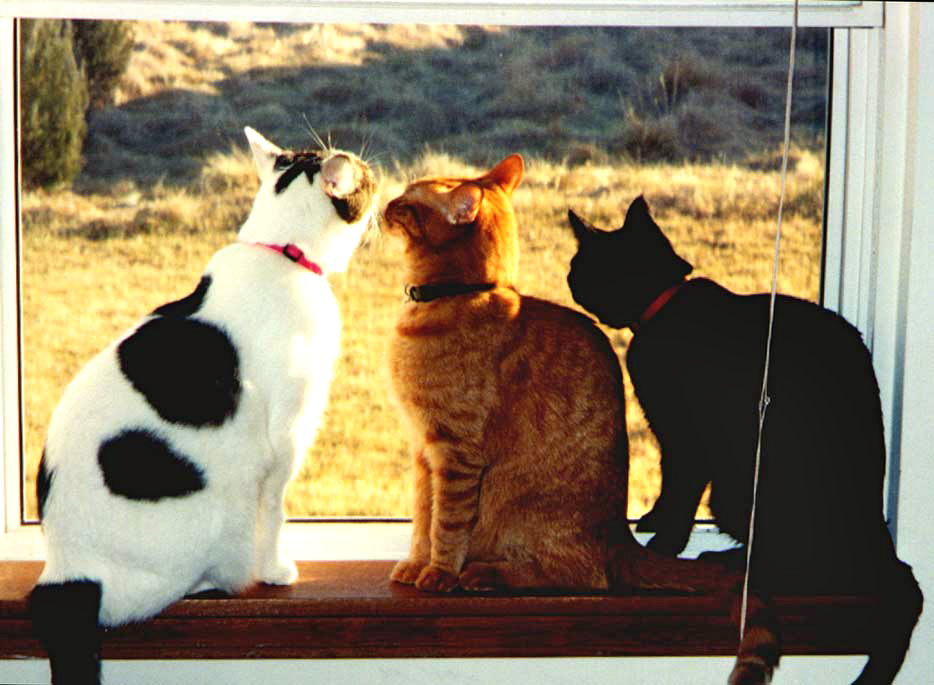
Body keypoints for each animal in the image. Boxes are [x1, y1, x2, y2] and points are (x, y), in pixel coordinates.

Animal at [31, 125, 378, 680]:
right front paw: (277, 570)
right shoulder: (287, 437)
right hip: (222, 506)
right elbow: (276, 512)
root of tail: (65, 575)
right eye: (365, 178)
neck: (280, 252)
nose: (376, 176)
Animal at [384, 155, 780, 684]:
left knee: (582, 577)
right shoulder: (423, 454)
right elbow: (422, 520)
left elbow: (445, 524)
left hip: (527, 516)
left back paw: (487, 574)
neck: (458, 297)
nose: (385, 203)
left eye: (407, 202)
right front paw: (415, 563)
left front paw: (438, 574)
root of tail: (621, 538)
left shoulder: (454, 455)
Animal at [568, 195, 924, 684]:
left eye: (580, 265)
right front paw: (653, 521)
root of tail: (882, 544)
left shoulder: (687, 438)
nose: (569, 280)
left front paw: (664, 545)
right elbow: (667, 483)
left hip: (738, 489)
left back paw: (726, 563)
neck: (663, 308)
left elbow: (680, 489)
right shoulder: (667, 435)